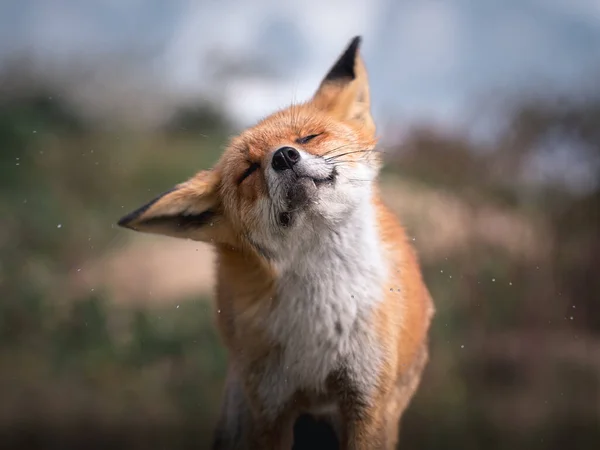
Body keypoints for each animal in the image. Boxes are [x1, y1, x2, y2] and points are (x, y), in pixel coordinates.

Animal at [118, 36, 436, 450]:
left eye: (307, 137)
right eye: (249, 170)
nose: (284, 156)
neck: (322, 314)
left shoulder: (366, 399)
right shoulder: (271, 407)